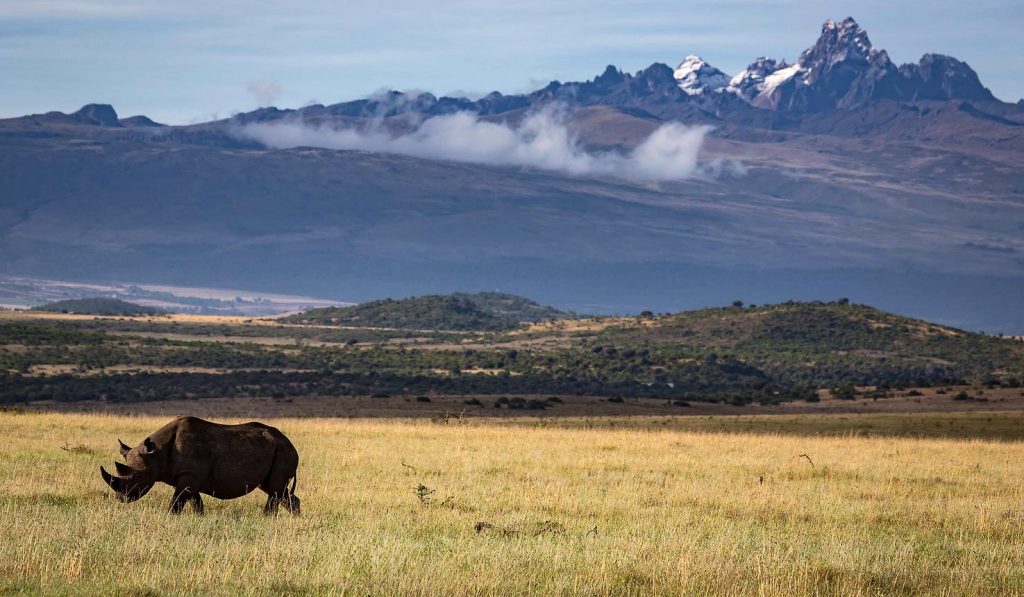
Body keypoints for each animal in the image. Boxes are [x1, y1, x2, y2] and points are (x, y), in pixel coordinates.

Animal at [100, 415, 299, 514]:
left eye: (139, 477)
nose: (121, 498)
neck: (156, 452)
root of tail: (291, 443)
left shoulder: (189, 476)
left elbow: (176, 503)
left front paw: (169, 517)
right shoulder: (189, 478)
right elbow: (196, 503)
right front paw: (199, 517)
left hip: (283, 452)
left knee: (275, 489)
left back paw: (267, 517)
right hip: (276, 451)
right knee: (276, 490)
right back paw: (292, 517)